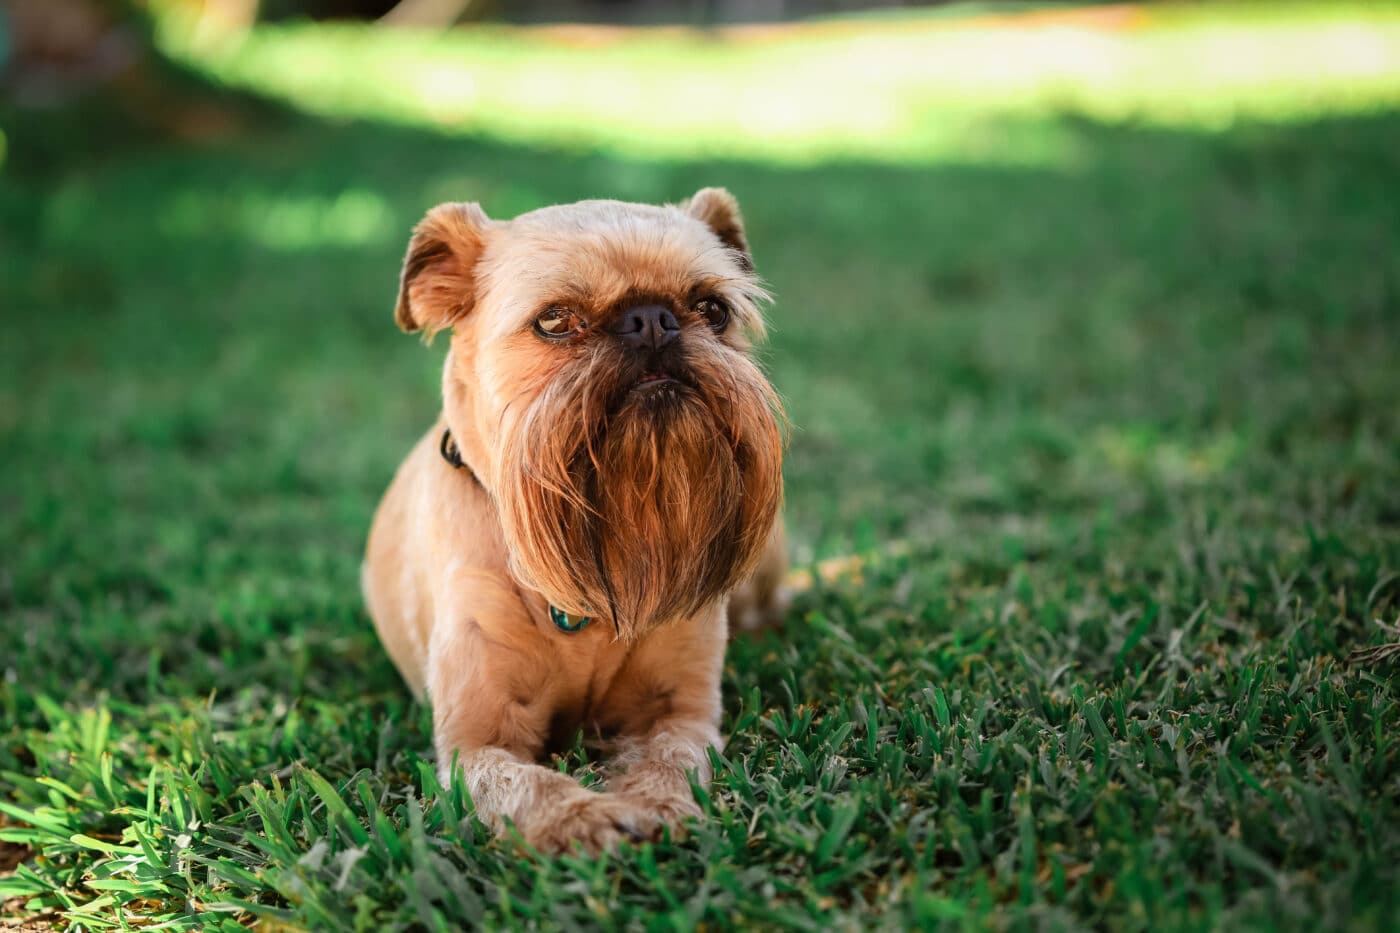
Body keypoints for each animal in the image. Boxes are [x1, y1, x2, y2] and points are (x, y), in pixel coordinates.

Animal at [364, 189, 789, 851]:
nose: (652, 320)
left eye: (712, 310)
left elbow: (671, 757)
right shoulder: (474, 746)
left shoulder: (682, 713)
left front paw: (656, 803)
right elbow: (523, 783)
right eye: (556, 320)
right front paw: (581, 818)